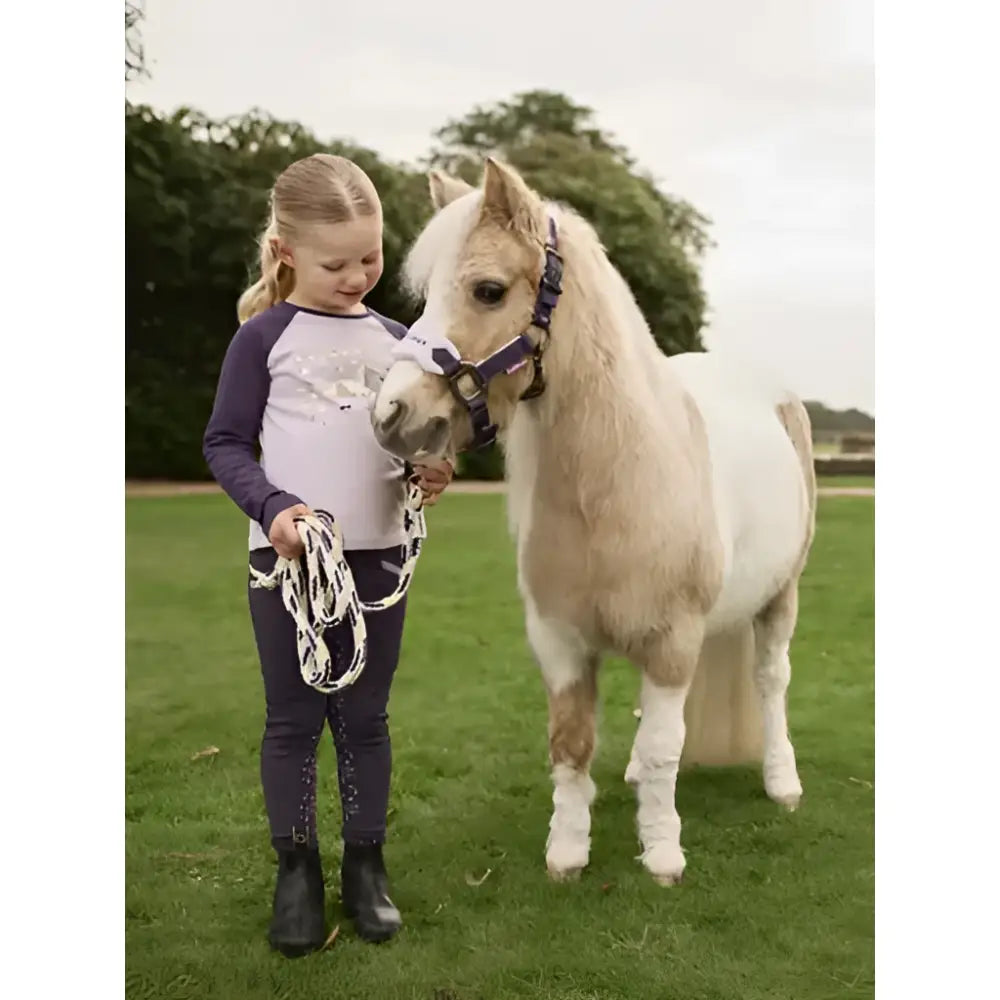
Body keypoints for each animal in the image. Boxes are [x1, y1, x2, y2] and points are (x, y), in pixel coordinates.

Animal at [370, 159, 816, 886]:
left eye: (488, 290)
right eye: (426, 293)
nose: (391, 418)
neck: (611, 486)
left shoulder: (672, 641)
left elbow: (665, 745)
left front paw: (662, 854)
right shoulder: (560, 642)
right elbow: (572, 744)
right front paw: (567, 852)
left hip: (781, 596)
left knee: (770, 681)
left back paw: (783, 782)